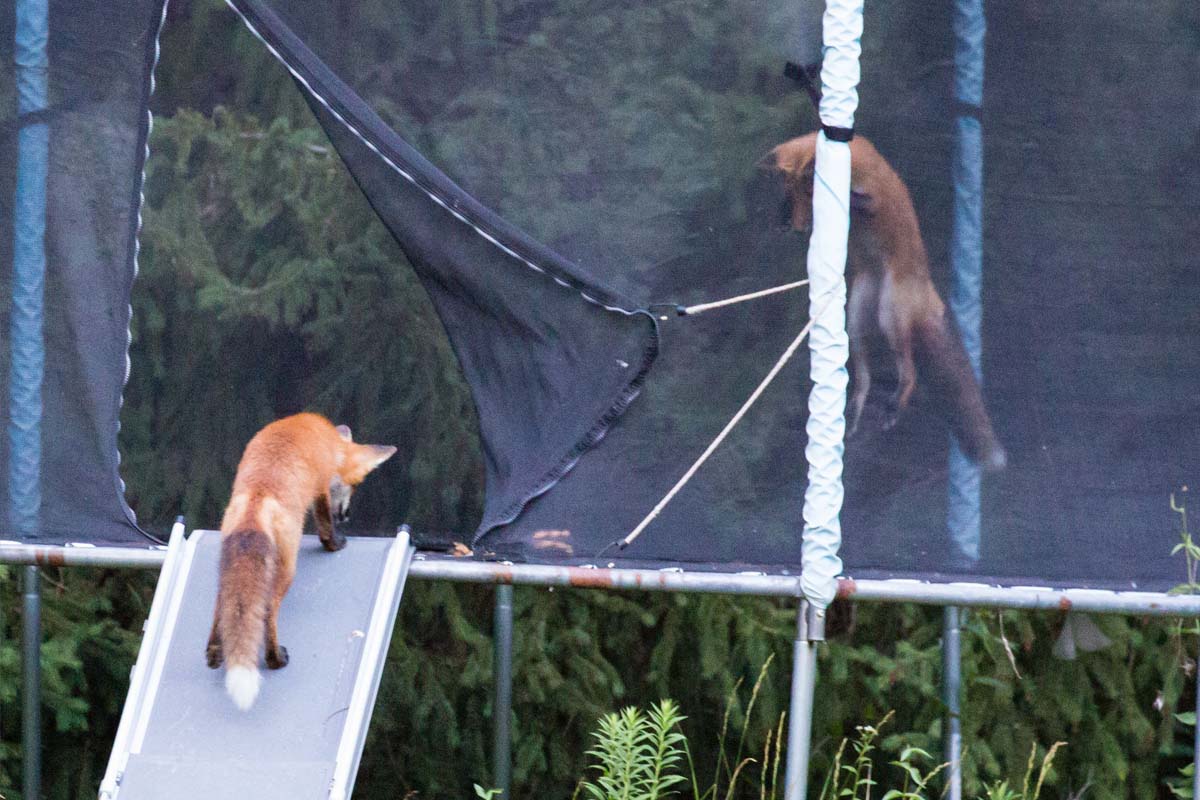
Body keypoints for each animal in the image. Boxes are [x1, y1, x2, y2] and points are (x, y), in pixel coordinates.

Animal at [205, 412, 397, 711]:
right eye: (355, 486)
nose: (347, 516)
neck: (325, 436)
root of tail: (257, 500)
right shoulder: (320, 487)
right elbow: (325, 523)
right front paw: (334, 543)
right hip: (286, 571)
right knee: (269, 612)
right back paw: (275, 658)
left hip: (228, 572)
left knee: (220, 608)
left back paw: (215, 654)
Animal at [764, 132, 1006, 471]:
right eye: (790, 197)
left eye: (806, 197)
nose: (796, 228)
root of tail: (928, 291)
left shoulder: (874, 194)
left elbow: (862, 200)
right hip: (856, 317)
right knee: (864, 377)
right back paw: (856, 408)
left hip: (889, 315)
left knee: (910, 370)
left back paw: (895, 403)